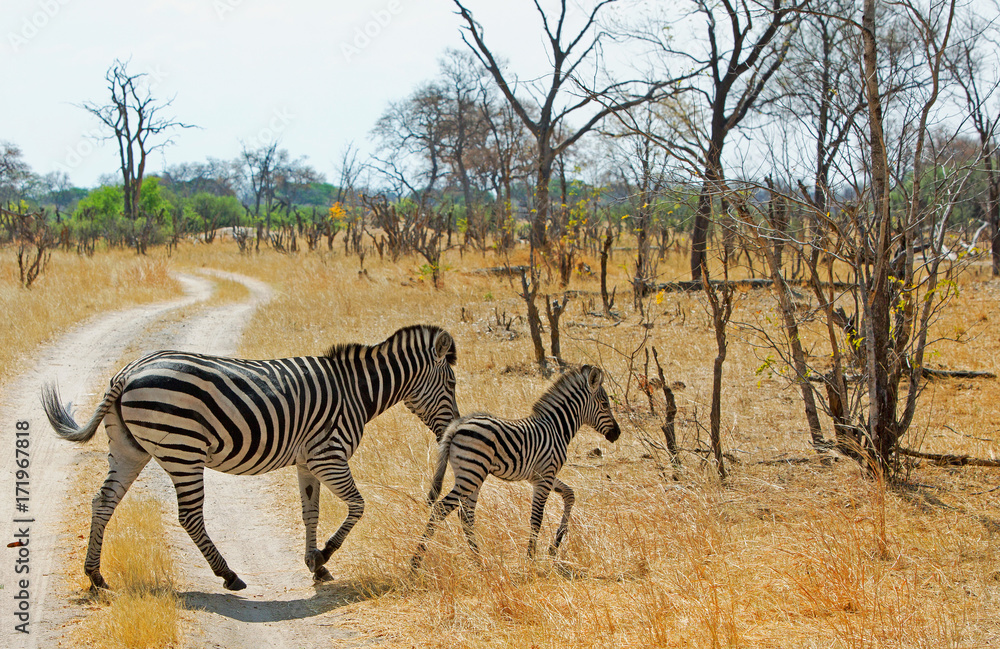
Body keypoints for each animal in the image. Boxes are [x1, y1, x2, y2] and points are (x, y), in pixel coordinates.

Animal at [42, 324, 458, 592]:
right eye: (452, 383)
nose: (451, 429)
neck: (357, 390)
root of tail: (127, 373)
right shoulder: (328, 454)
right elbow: (358, 505)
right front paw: (324, 555)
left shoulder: (308, 460)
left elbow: (310, 512)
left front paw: (314, 564)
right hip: (182, 449)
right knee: (189, 516)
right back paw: (228, 575)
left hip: (130, 447)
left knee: (103, 501)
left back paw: (95, 576)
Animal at [411, 364, 620, 568]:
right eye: (605, 405)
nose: (617, 434)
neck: (557, 428)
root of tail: (456, 426)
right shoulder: (545, 476)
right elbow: (537, 519)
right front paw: (531, 559)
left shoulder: (541, 476)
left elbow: (569, 494)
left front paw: (555, 544)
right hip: (472, 473)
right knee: (441, 509)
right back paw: (416, 562)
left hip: (470, 474)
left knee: (466, 515)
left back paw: (478, 561)